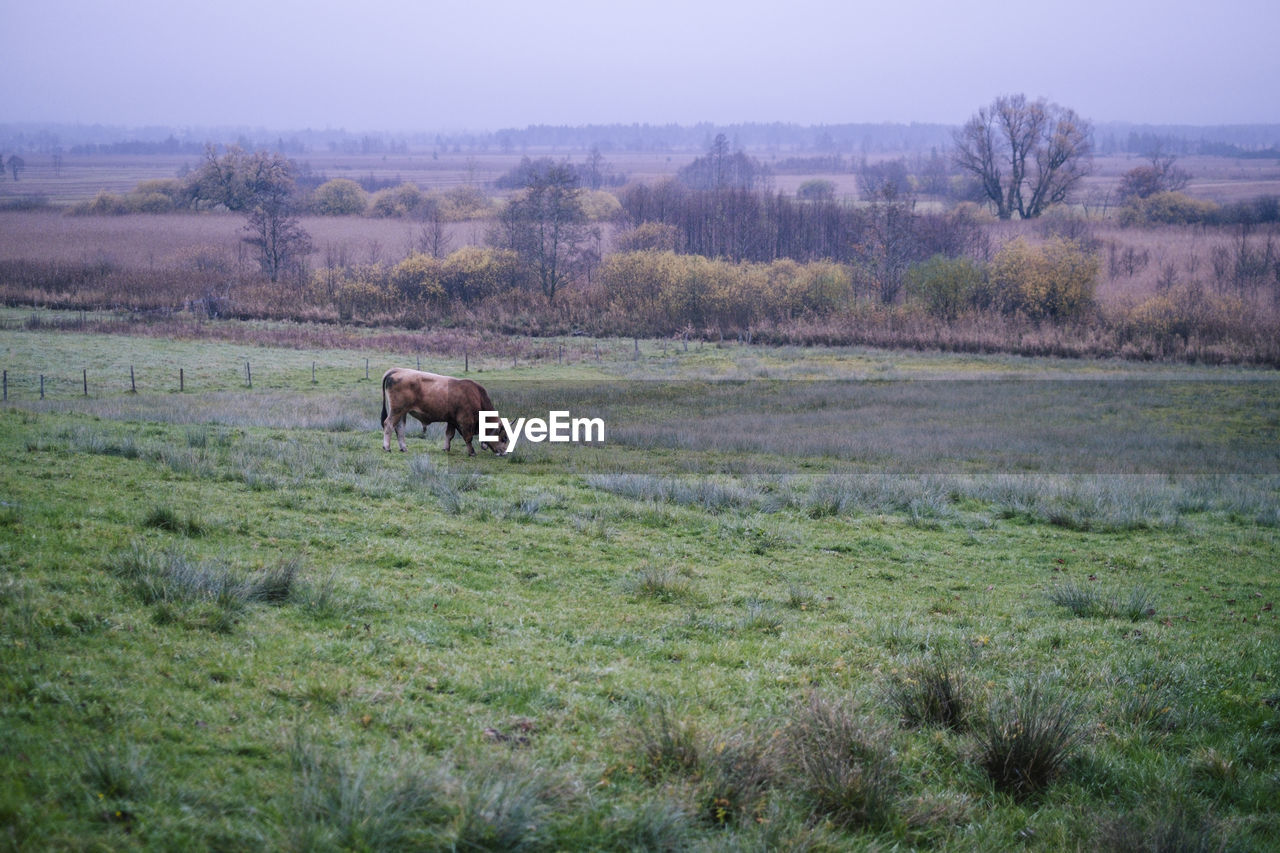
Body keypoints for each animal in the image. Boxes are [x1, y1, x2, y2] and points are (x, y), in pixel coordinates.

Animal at [376, 366, 506, 455]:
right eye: (504, 438)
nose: (504, 453)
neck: (476, 396)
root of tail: (397, 370)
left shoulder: (452, 421)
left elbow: (449, 435)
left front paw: (446, 448)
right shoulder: (465, 421)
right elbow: (468, 437)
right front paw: (472, 452)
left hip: (402, 412)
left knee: (400, 428)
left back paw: (403, 448)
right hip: (397, 411)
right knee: (388, 424)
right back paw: (387, 447)